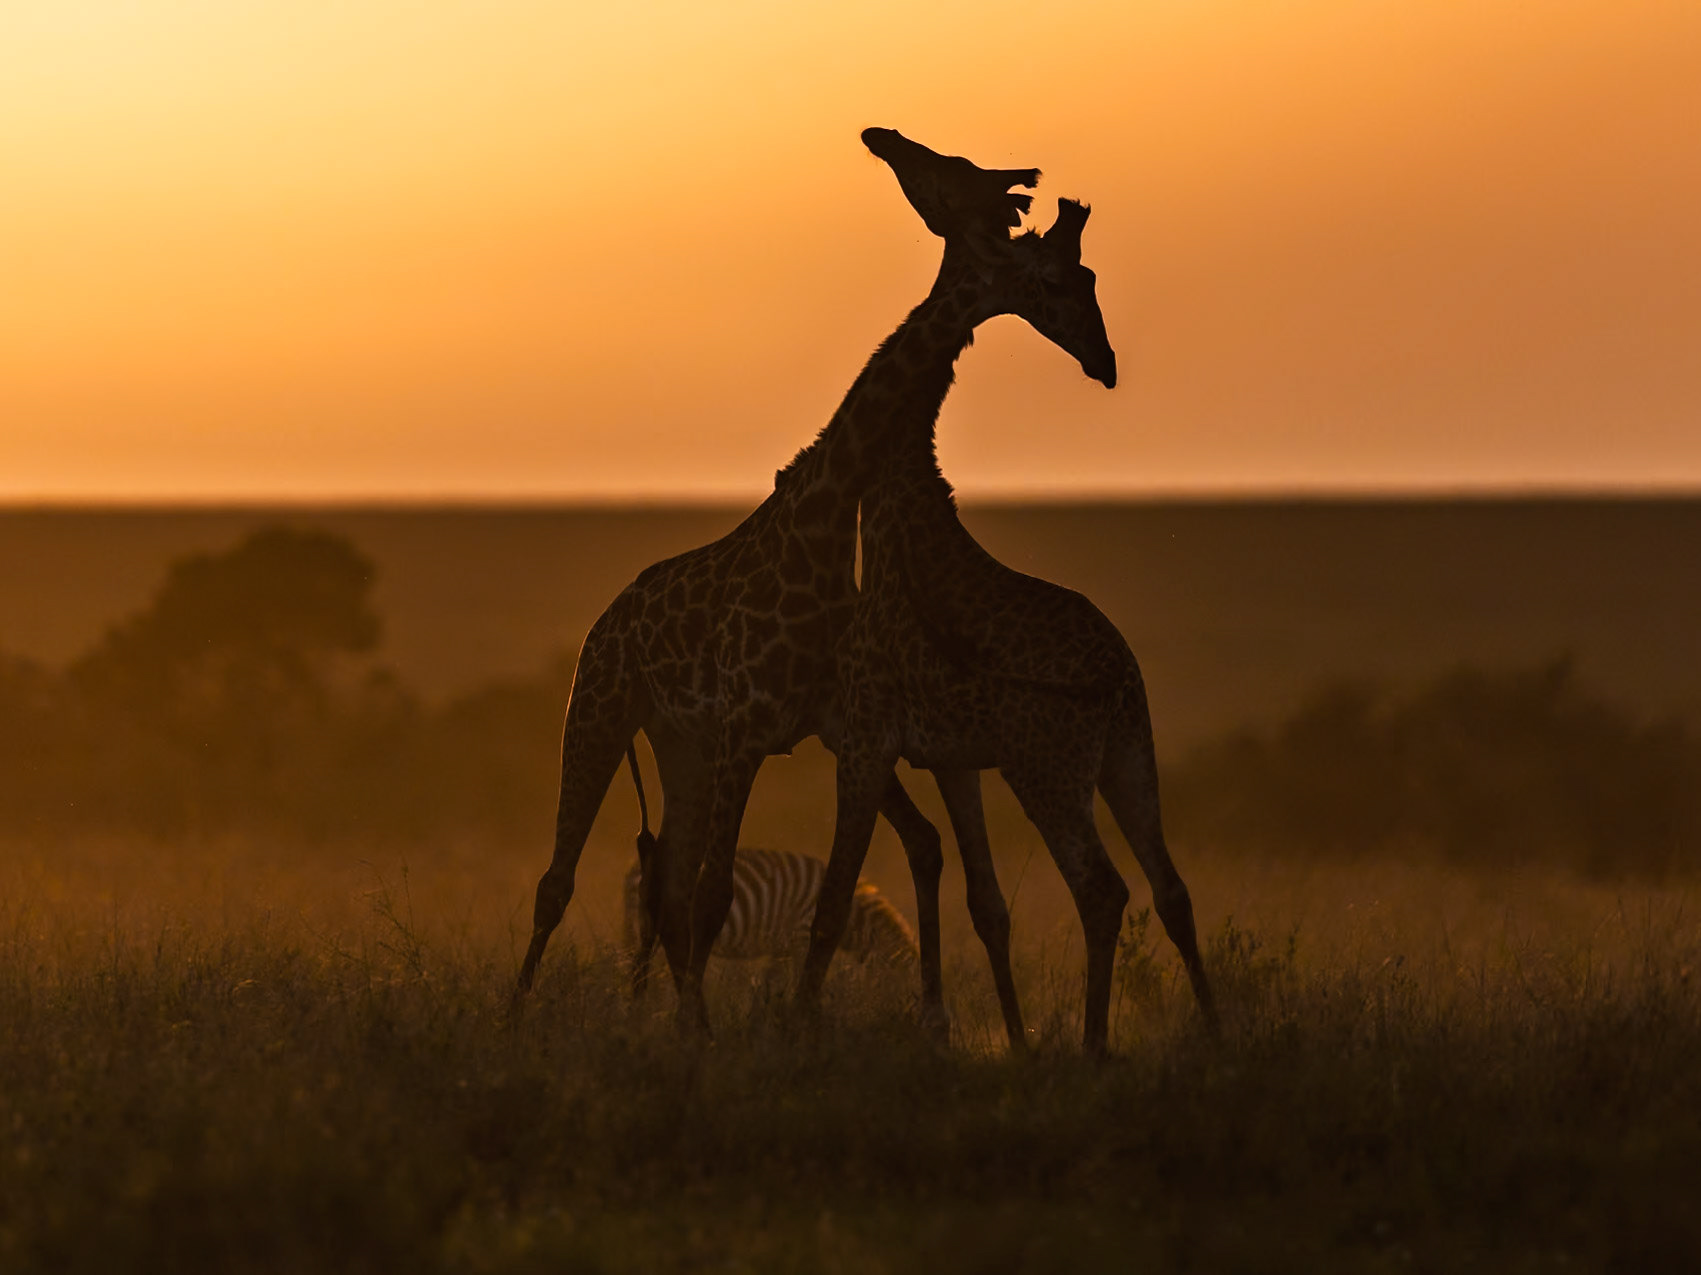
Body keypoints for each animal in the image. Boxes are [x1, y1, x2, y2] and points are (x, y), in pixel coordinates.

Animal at [514, 130, 1046, 1030]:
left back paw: (664, 1018)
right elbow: (716, 893)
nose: (881, 137)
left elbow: (735, 889)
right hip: (600, 711)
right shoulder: (746, 729)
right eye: (956, 174)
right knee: (562, 879)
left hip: (679, 745)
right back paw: (520, 1013)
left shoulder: (805, 725)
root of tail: (606, 619)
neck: (822, 523)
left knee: (663, 884)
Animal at [796, 142, 1218, 1054]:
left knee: (1102, 889)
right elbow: (985, 901)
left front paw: (787, 1021)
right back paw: (1214, 1028)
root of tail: (1114, 676)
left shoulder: (870, 736)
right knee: (1170, 887)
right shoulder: (953, 754)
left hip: (1048, 767)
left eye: (950, 172)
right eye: (1070, 277)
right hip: (1127, 754)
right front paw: (1012, 1043)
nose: (882, 136)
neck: (897, 510)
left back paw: (1094, 1048)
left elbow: (835, 897)